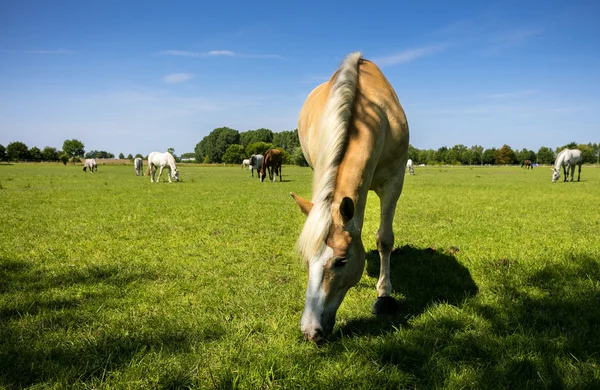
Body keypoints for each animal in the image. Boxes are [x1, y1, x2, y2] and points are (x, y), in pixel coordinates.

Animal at [290, 51, 410, 342]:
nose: (310, 331)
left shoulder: (395, 182)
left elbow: (385, 239)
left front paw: (384, 296)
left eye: (341, 261)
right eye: (306, 259)